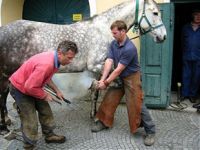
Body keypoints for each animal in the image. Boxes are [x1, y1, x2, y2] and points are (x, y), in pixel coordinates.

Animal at [0, 0, 166, 132]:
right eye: (155, 13)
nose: (163, 37)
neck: (103, 29)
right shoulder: (95, 65)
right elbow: (113, 82)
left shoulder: (98, 70)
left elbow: (96, 92)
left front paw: (94, 115)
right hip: (5, 73)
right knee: (3, 95)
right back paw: (4, 125)